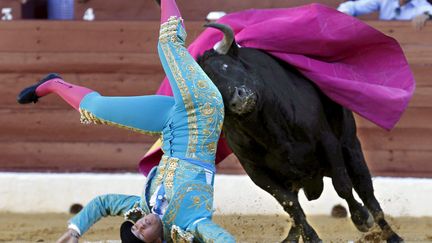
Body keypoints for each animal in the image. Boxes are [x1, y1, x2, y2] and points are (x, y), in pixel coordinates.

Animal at [197, 23, 404, 243]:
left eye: (225, 66)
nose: (238, 100)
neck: (267, 128)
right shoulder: (256, 171)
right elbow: (290, 205)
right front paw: (312, 237)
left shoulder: (328, 142)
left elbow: (342, 186)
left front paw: (361, 218)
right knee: (296, 204)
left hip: (351, 147)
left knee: (365, 190)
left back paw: (392, 235)